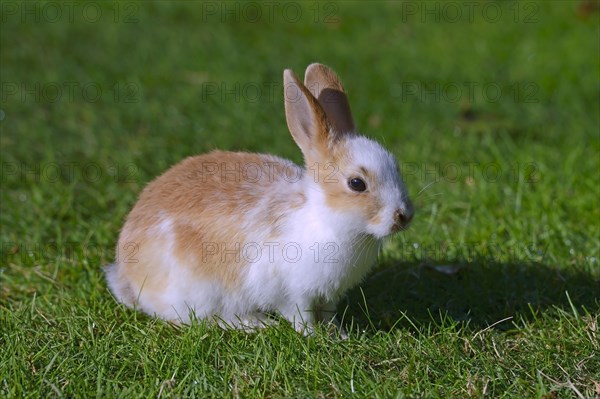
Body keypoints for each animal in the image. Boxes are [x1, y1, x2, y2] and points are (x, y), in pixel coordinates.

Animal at [104, 63, 412, 338]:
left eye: (396, 166)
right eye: (357, 184)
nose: (404, 216)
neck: (325, 217)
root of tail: (127, 276)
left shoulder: (328, 296)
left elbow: (328, 314)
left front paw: (339, 334)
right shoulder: (293, 293)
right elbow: (301, 317)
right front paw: (313, 336)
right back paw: (255, 324)